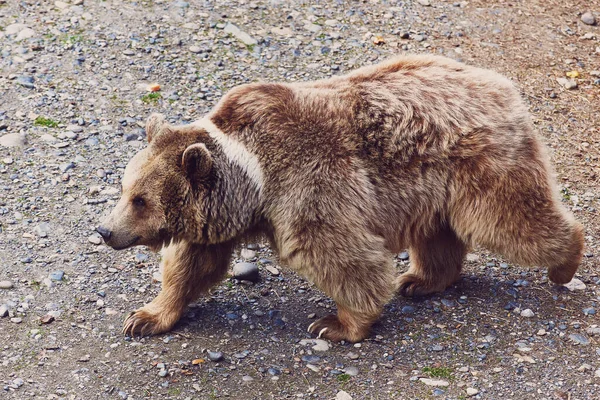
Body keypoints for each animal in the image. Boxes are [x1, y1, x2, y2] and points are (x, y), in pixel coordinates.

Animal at [97, 54, 580, 344]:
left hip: (480, 163)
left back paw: (565, 261)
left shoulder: (307, 186)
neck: (253, 180)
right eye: (125, 189)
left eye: (140, 199)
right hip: (433, 187)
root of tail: (500, 84)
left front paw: (336, 323)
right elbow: (192, 263)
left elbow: (340, 252)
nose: (104, 230)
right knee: (438, 234)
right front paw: (146, 317)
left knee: (509, 221)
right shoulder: (216, 220)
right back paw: (419, 281)